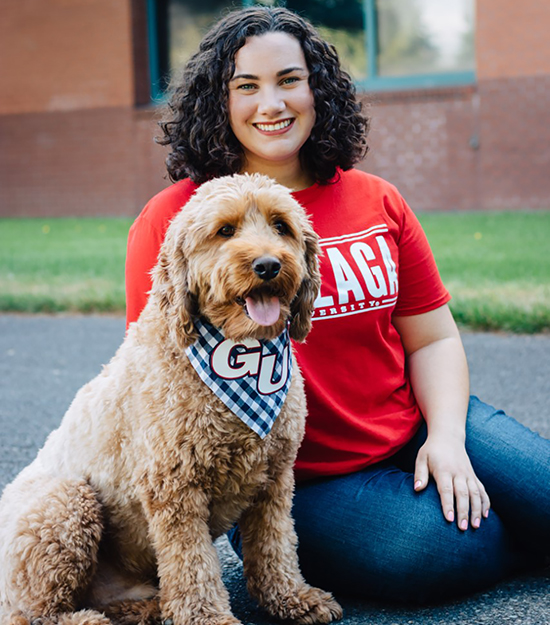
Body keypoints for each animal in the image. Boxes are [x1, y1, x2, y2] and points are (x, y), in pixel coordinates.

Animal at [0, 173, 342, 624]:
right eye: (225, 231)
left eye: (281, 226)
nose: (268, 265)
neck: (239, 357)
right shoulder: (174, 489)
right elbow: (192, 564)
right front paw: (208, 617)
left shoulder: (275, 480)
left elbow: (276, 544)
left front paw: (291, 596)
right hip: (64, 504)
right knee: (33, 612)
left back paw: (145, 607)